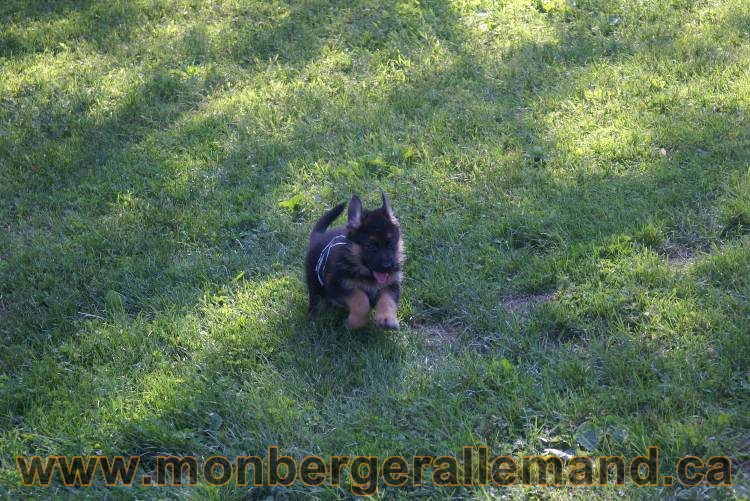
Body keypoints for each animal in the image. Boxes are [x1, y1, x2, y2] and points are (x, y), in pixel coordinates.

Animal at [305, 193, 404, 330]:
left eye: (391, 243)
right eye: (370, 246)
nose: (388, 266)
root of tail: (317, 237)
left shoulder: (391, 285)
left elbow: (387, 300)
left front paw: (386, 319)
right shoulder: (338, 285)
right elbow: (361, 300)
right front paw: (354, 323)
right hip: (315, 285)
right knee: (316, 302)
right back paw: (315, 319)